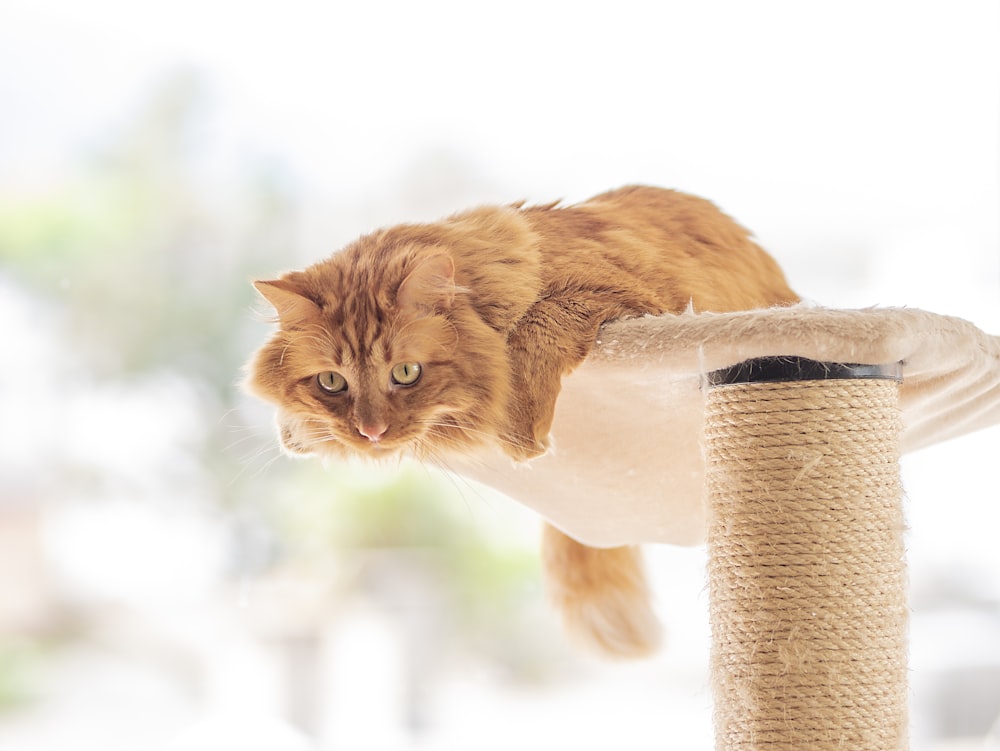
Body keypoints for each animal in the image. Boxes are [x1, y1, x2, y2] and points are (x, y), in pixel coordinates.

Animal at [248, 187, 796, 656]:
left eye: (405, 373)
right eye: (331, 383)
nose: (370, 433)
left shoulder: (630, 302)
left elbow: (538, 322)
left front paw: (519, 425)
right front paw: (295, 431)